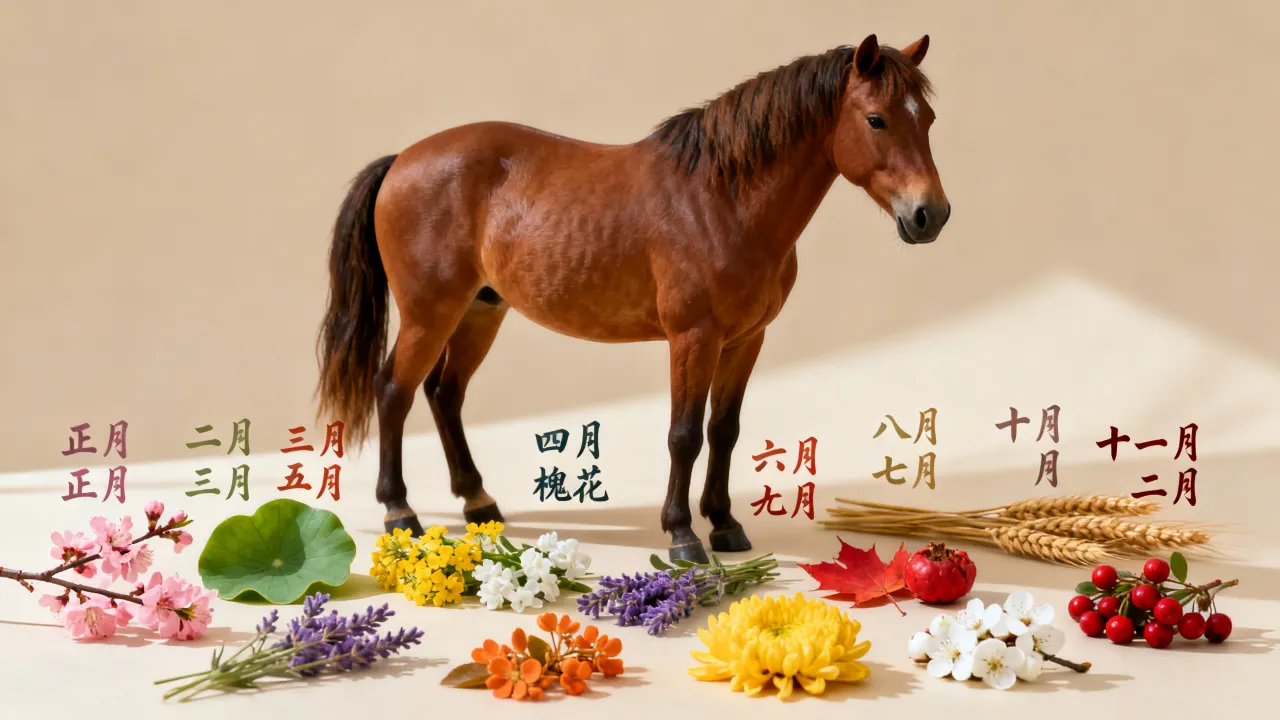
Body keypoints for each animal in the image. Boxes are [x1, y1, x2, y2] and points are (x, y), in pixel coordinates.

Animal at [316, 34, 949, 562]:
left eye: (928, 119)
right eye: (876, 119)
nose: (930, 215)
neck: (722, 199)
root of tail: (401, 160)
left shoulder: (746, 340)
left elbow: (724, 429)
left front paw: (724, 524)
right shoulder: (693, 338)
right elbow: (683, 435)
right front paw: (683, 533)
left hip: (480, 310)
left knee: (444, 394)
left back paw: (478, 502)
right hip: (430, 312)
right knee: (394, 391)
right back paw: (401, 512)